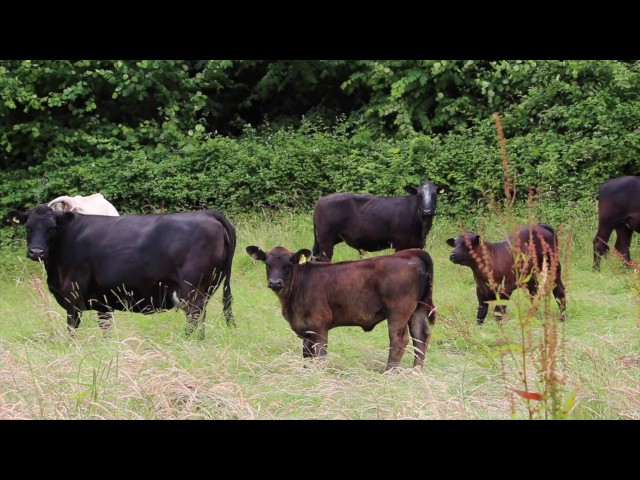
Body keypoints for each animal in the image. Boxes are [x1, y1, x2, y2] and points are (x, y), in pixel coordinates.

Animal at [5, 204, 235, 336]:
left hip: (192, 289)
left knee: (194, 318)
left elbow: (72, 330)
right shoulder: (103, 301)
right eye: (28, 227)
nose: (36, 251)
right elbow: (106, 330)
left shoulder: (73, 296)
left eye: (52, 228)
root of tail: (208, 214)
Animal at [245, 246, 436, 370]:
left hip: (398, 310)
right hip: (418, 308)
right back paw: (416, 371)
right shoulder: (305, 330)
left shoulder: (319, 324)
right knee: (421, 336)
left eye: (288, 265)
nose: (275, 282)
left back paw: (389, 371)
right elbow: (307, 354)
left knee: (399, 339)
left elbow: (320, 353)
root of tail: (411, 252)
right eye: (267, 264)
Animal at [312, 180, 444, 262]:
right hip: (326, 240)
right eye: (419, 195)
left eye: (434, 195)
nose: (427, 211)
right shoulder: (400, 244)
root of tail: (321, 200)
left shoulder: (419, 245)